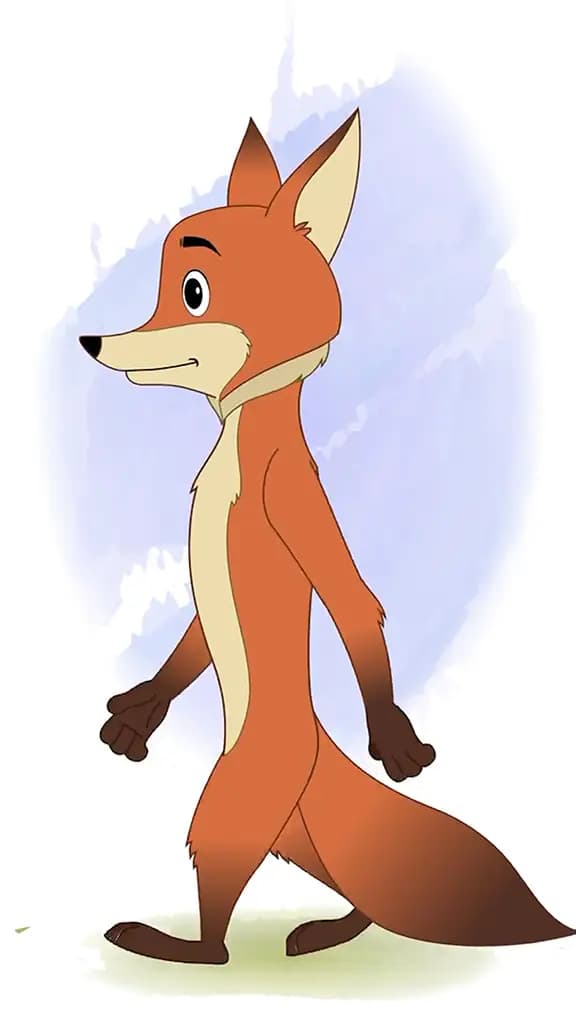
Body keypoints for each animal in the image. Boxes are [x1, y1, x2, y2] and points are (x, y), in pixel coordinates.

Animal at [80, 109, 574, 965]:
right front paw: (137, 712)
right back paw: (323, 931)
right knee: (349, 886)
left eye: (193, 291)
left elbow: (352, 600)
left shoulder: (294, 501)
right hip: (292, 832)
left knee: (222, 934)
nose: (94, 344)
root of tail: (317, 754)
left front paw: (394, 734)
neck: (241, 438)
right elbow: (189, 647)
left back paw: (169, 943)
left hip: (231, 803)